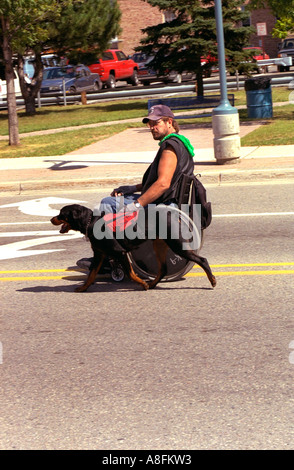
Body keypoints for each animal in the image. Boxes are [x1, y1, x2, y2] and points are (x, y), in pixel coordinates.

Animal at [51, 204, 216, 292]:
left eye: (61, 214)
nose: (51, 219)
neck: (90, 222)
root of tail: (173, 215)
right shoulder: (99, 254)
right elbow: (91, 274)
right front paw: (83, 288)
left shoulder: (120, 252)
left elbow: (130, 273)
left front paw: (142, 283)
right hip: (159, 245)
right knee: (163, 269)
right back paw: (153, 284)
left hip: (177, 245)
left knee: (202, 260)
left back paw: (212, 280)